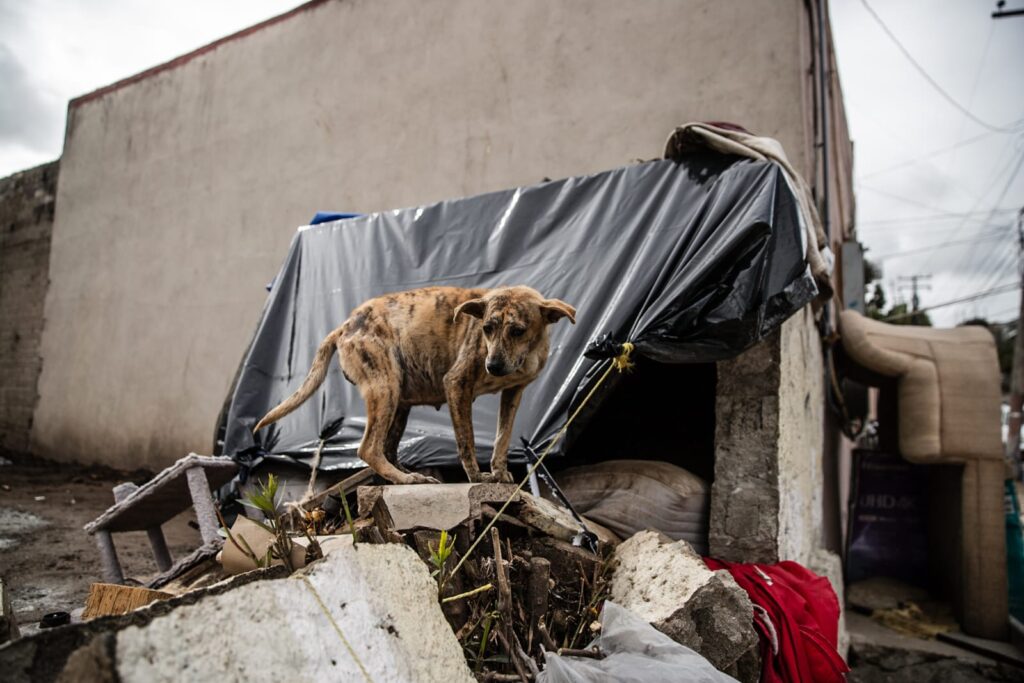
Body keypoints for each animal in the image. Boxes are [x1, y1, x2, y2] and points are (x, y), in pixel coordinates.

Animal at [250, 286, 577, 483]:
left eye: (518, 330)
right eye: (486, 328)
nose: (492, 366)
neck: (525, 354)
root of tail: (345, 326)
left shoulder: (513, 393)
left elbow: (502, 438)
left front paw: (499, 472)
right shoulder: (457, 384)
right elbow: (467, 442)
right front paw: (478, 478)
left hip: (399, 403)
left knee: (387, 448)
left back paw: (402, 474)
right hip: (385, 388)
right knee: (368, 449)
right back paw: (407, 479)